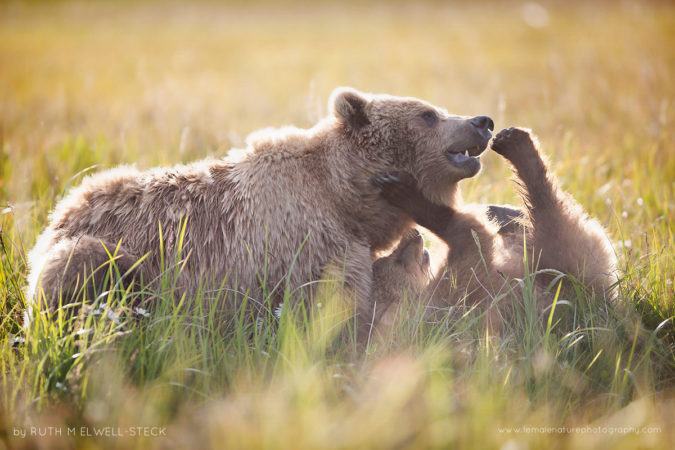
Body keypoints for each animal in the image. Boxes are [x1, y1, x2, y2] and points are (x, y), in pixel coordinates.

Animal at [24, 88, 493, 335]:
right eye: (428, 113)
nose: (482, 121)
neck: (346, 196)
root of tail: (61, 210)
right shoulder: (308, 241)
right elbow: (335, 307)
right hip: (113, 254)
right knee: (82, 267)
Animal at [374, 127, 618, 330]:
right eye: (396, 259)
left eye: (390, 256)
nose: (413, 234)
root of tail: (605, 302)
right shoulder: (464, 288)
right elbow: (468, 232)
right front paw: (404, 192)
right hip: (569, 264)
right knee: (549, 213)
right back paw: (516, 147)